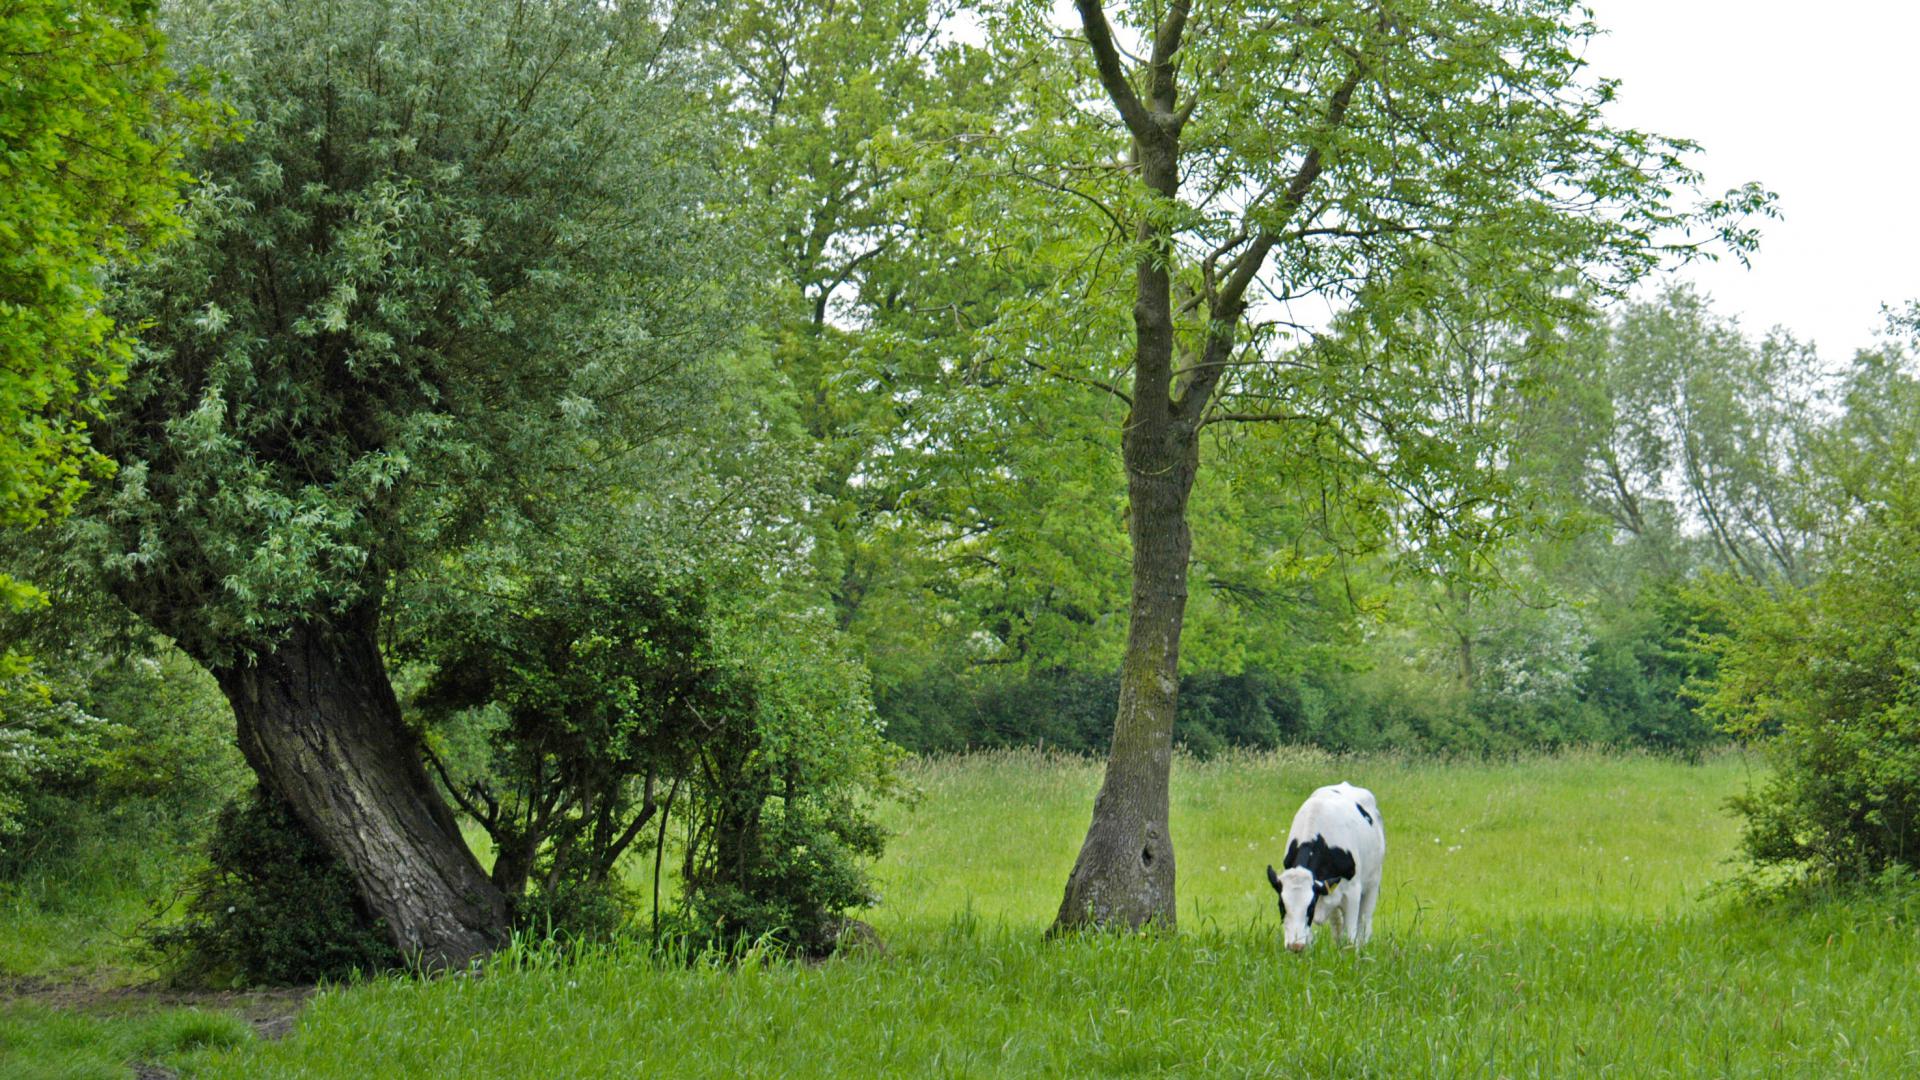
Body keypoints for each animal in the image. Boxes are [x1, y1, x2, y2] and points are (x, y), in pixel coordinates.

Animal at [1259, 776, 1382, 945]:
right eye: (1282, 906)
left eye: (1310, 907)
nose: (1295, 945)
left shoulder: (1352, 892)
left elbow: (1351, 937)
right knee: (1337, 927)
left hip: (1373, 883)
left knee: (1364, 924)